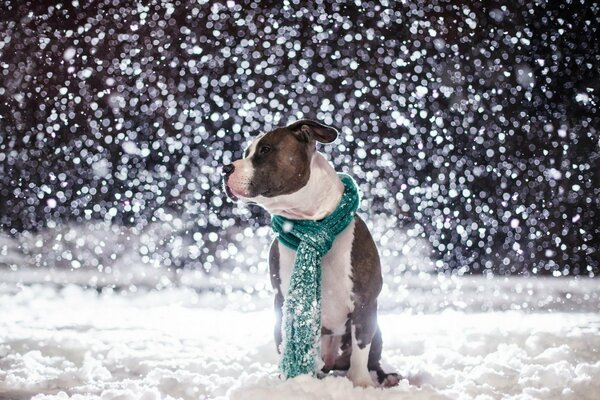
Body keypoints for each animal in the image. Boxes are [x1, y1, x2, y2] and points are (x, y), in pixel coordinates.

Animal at [223, 119, 400, 388]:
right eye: (246, 153)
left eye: (265, 150)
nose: (225, 168)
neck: (311, 221)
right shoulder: (282, 300)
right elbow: (285, 341)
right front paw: (290, 381)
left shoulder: (365, 302)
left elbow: (361, 349)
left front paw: (361, 384)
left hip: (373, 331)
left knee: (371, 357)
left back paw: (385, 377)